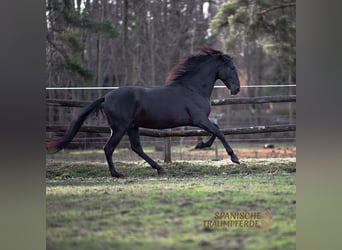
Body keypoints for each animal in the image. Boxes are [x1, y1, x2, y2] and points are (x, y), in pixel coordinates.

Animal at [47, 46, 240, 177]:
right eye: (232, 68)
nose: (236, 89)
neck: (192, 88)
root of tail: (106, 97)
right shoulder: (199, 119)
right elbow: (218, 132)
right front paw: (234, 158)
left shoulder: (201, 121)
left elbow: (216, 130)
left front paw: (202, 145)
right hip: (120, 128)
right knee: (109, 148)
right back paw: (117, 174)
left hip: (132, 127)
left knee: (136, 147)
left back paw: (159, 168)